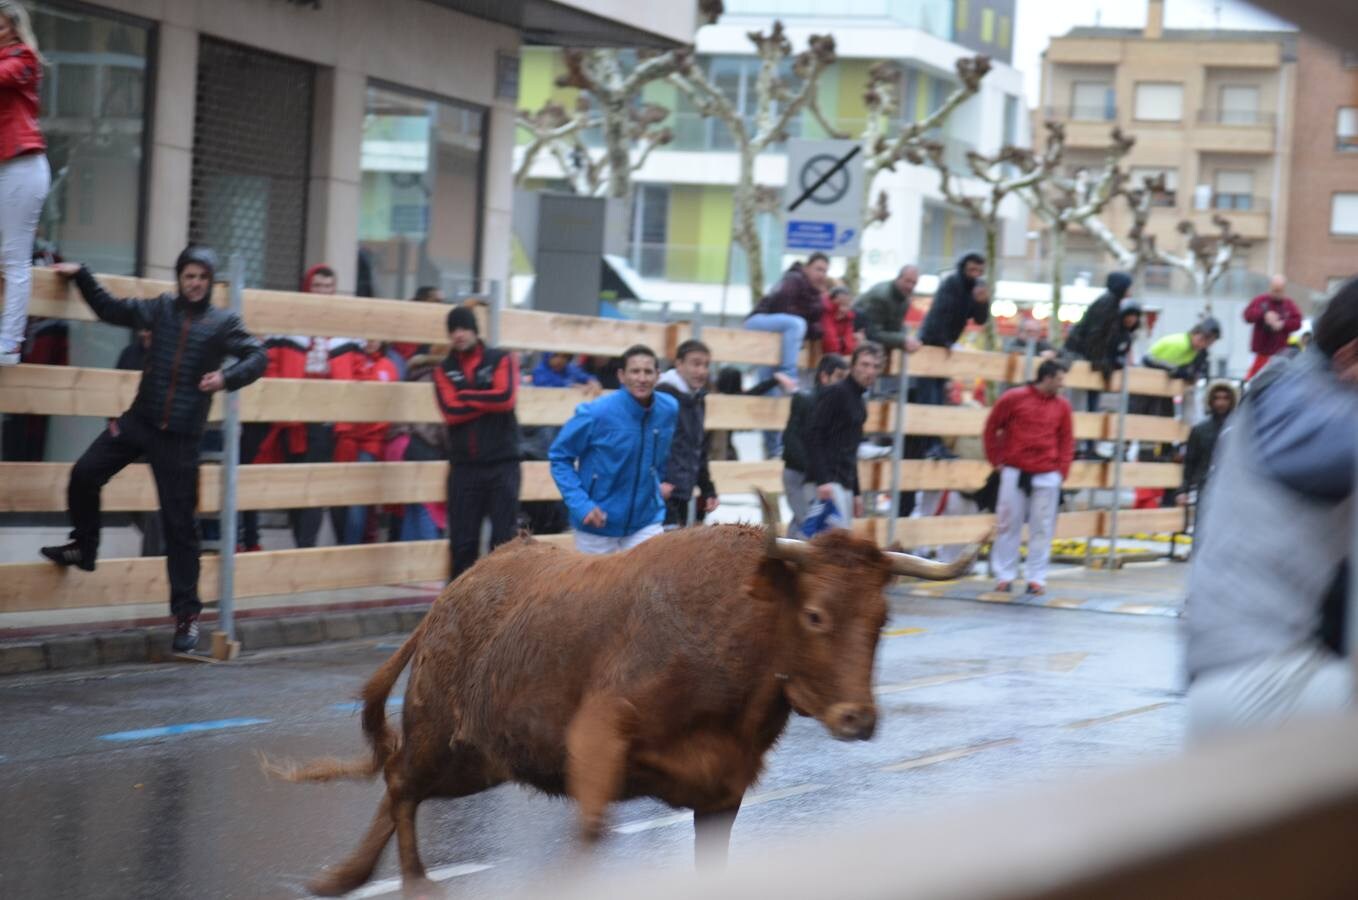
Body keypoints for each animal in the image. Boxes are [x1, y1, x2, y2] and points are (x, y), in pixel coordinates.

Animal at [267, 496, 966, 895]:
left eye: (881, 619)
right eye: (817, 614)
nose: (858, 718)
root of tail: (452, 594)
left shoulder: (722, 793)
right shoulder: (597, 737)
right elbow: (592, 833)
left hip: (479, 758)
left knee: (396, 781)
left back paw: (346, 877)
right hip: (444, 736)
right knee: (400, 783)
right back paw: (412, 884)